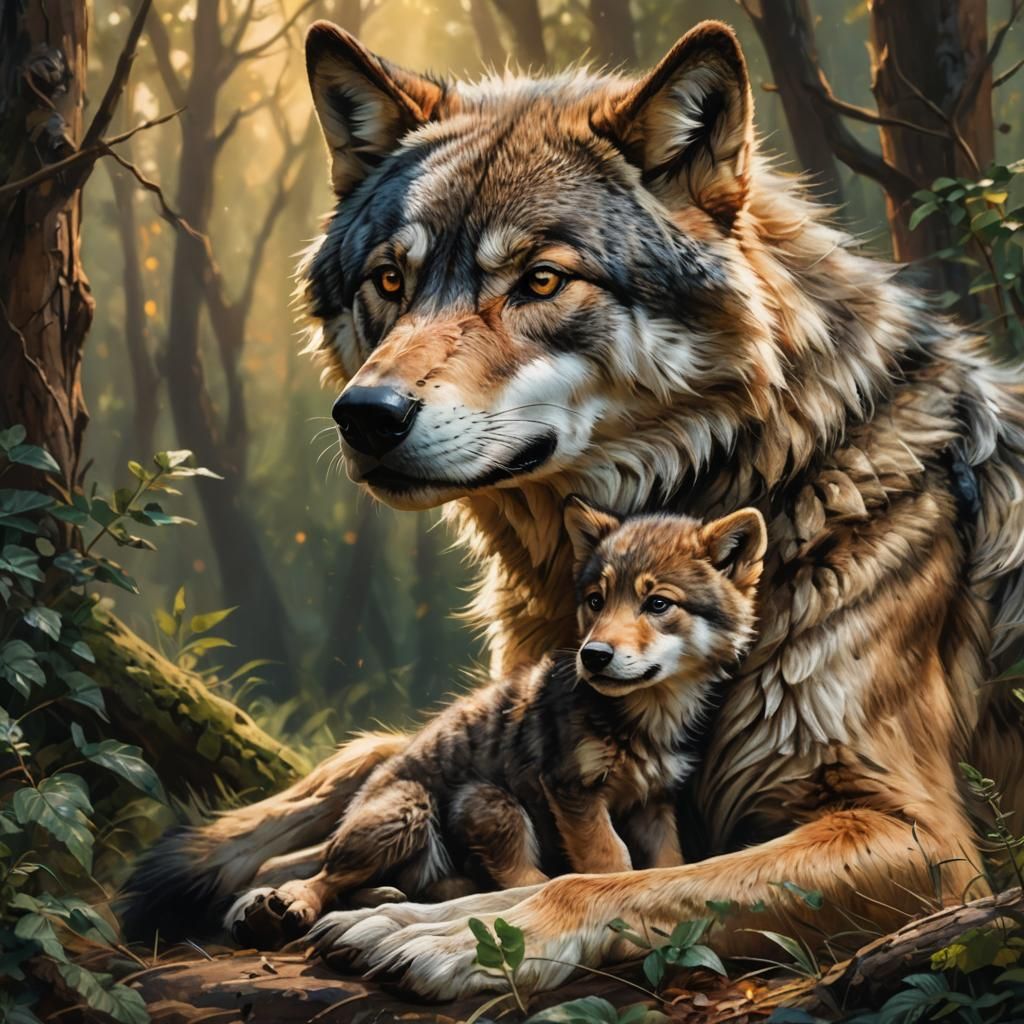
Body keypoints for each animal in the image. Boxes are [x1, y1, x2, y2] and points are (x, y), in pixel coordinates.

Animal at [223, 500, 767, 948]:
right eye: (596, 600)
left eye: (657, 604)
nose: (593, 656)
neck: (648, 715)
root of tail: (360, 799)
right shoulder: (573, 792)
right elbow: (609, 860)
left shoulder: (654, 803)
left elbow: (668, 864)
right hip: (446, 805)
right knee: (324, 876)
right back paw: (296, 903)